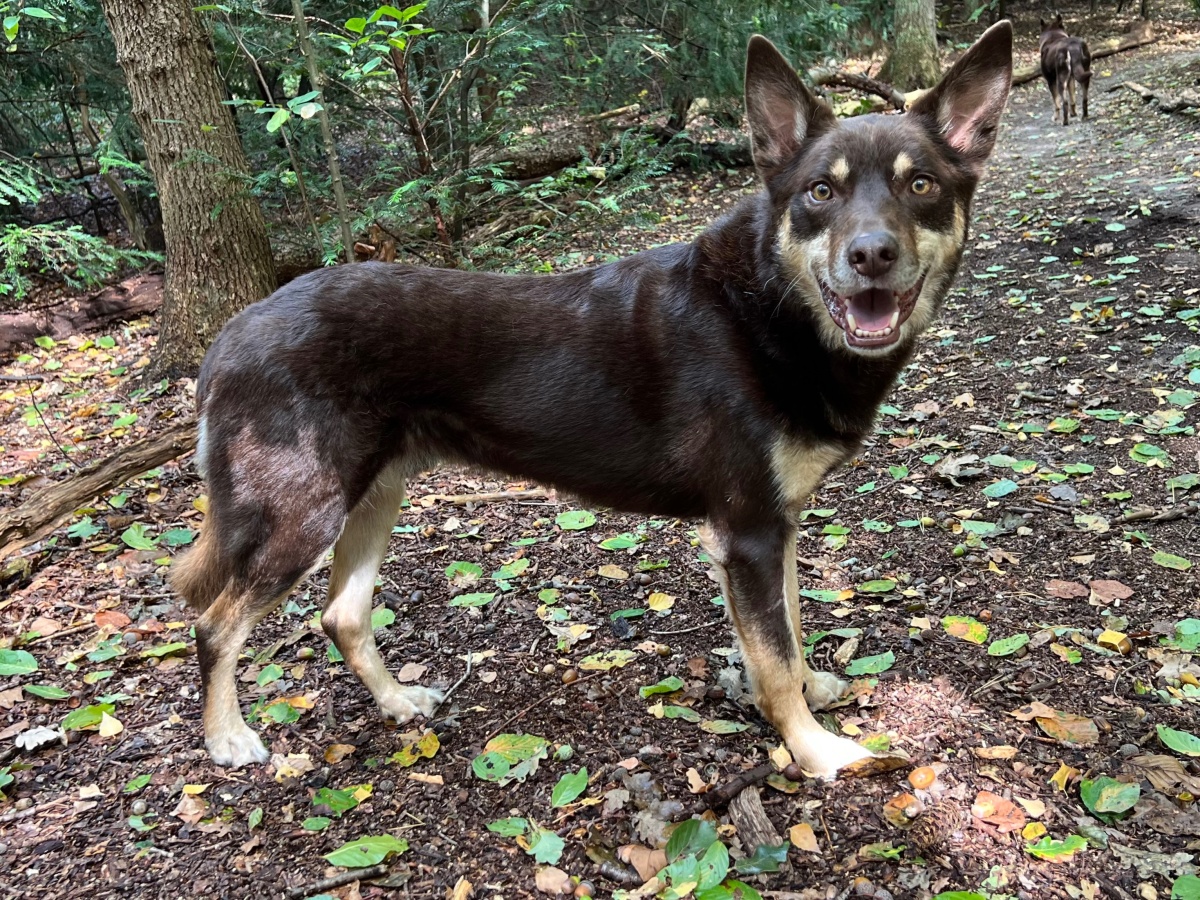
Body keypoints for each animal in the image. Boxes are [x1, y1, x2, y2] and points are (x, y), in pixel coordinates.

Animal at [172, 22, 1013, 779]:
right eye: (819, 192)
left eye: (921, 185)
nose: (871, 256)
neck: (771, 308)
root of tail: (229, 336)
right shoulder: (747, 531)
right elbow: (773, 657)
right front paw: (814, 749)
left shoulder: (780, 524)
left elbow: (791, 629)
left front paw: (810, 690)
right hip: (301, 513)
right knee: (213, 625)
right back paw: (227, 738)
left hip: (375, 495)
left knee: (342, 614)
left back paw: (398, 703)